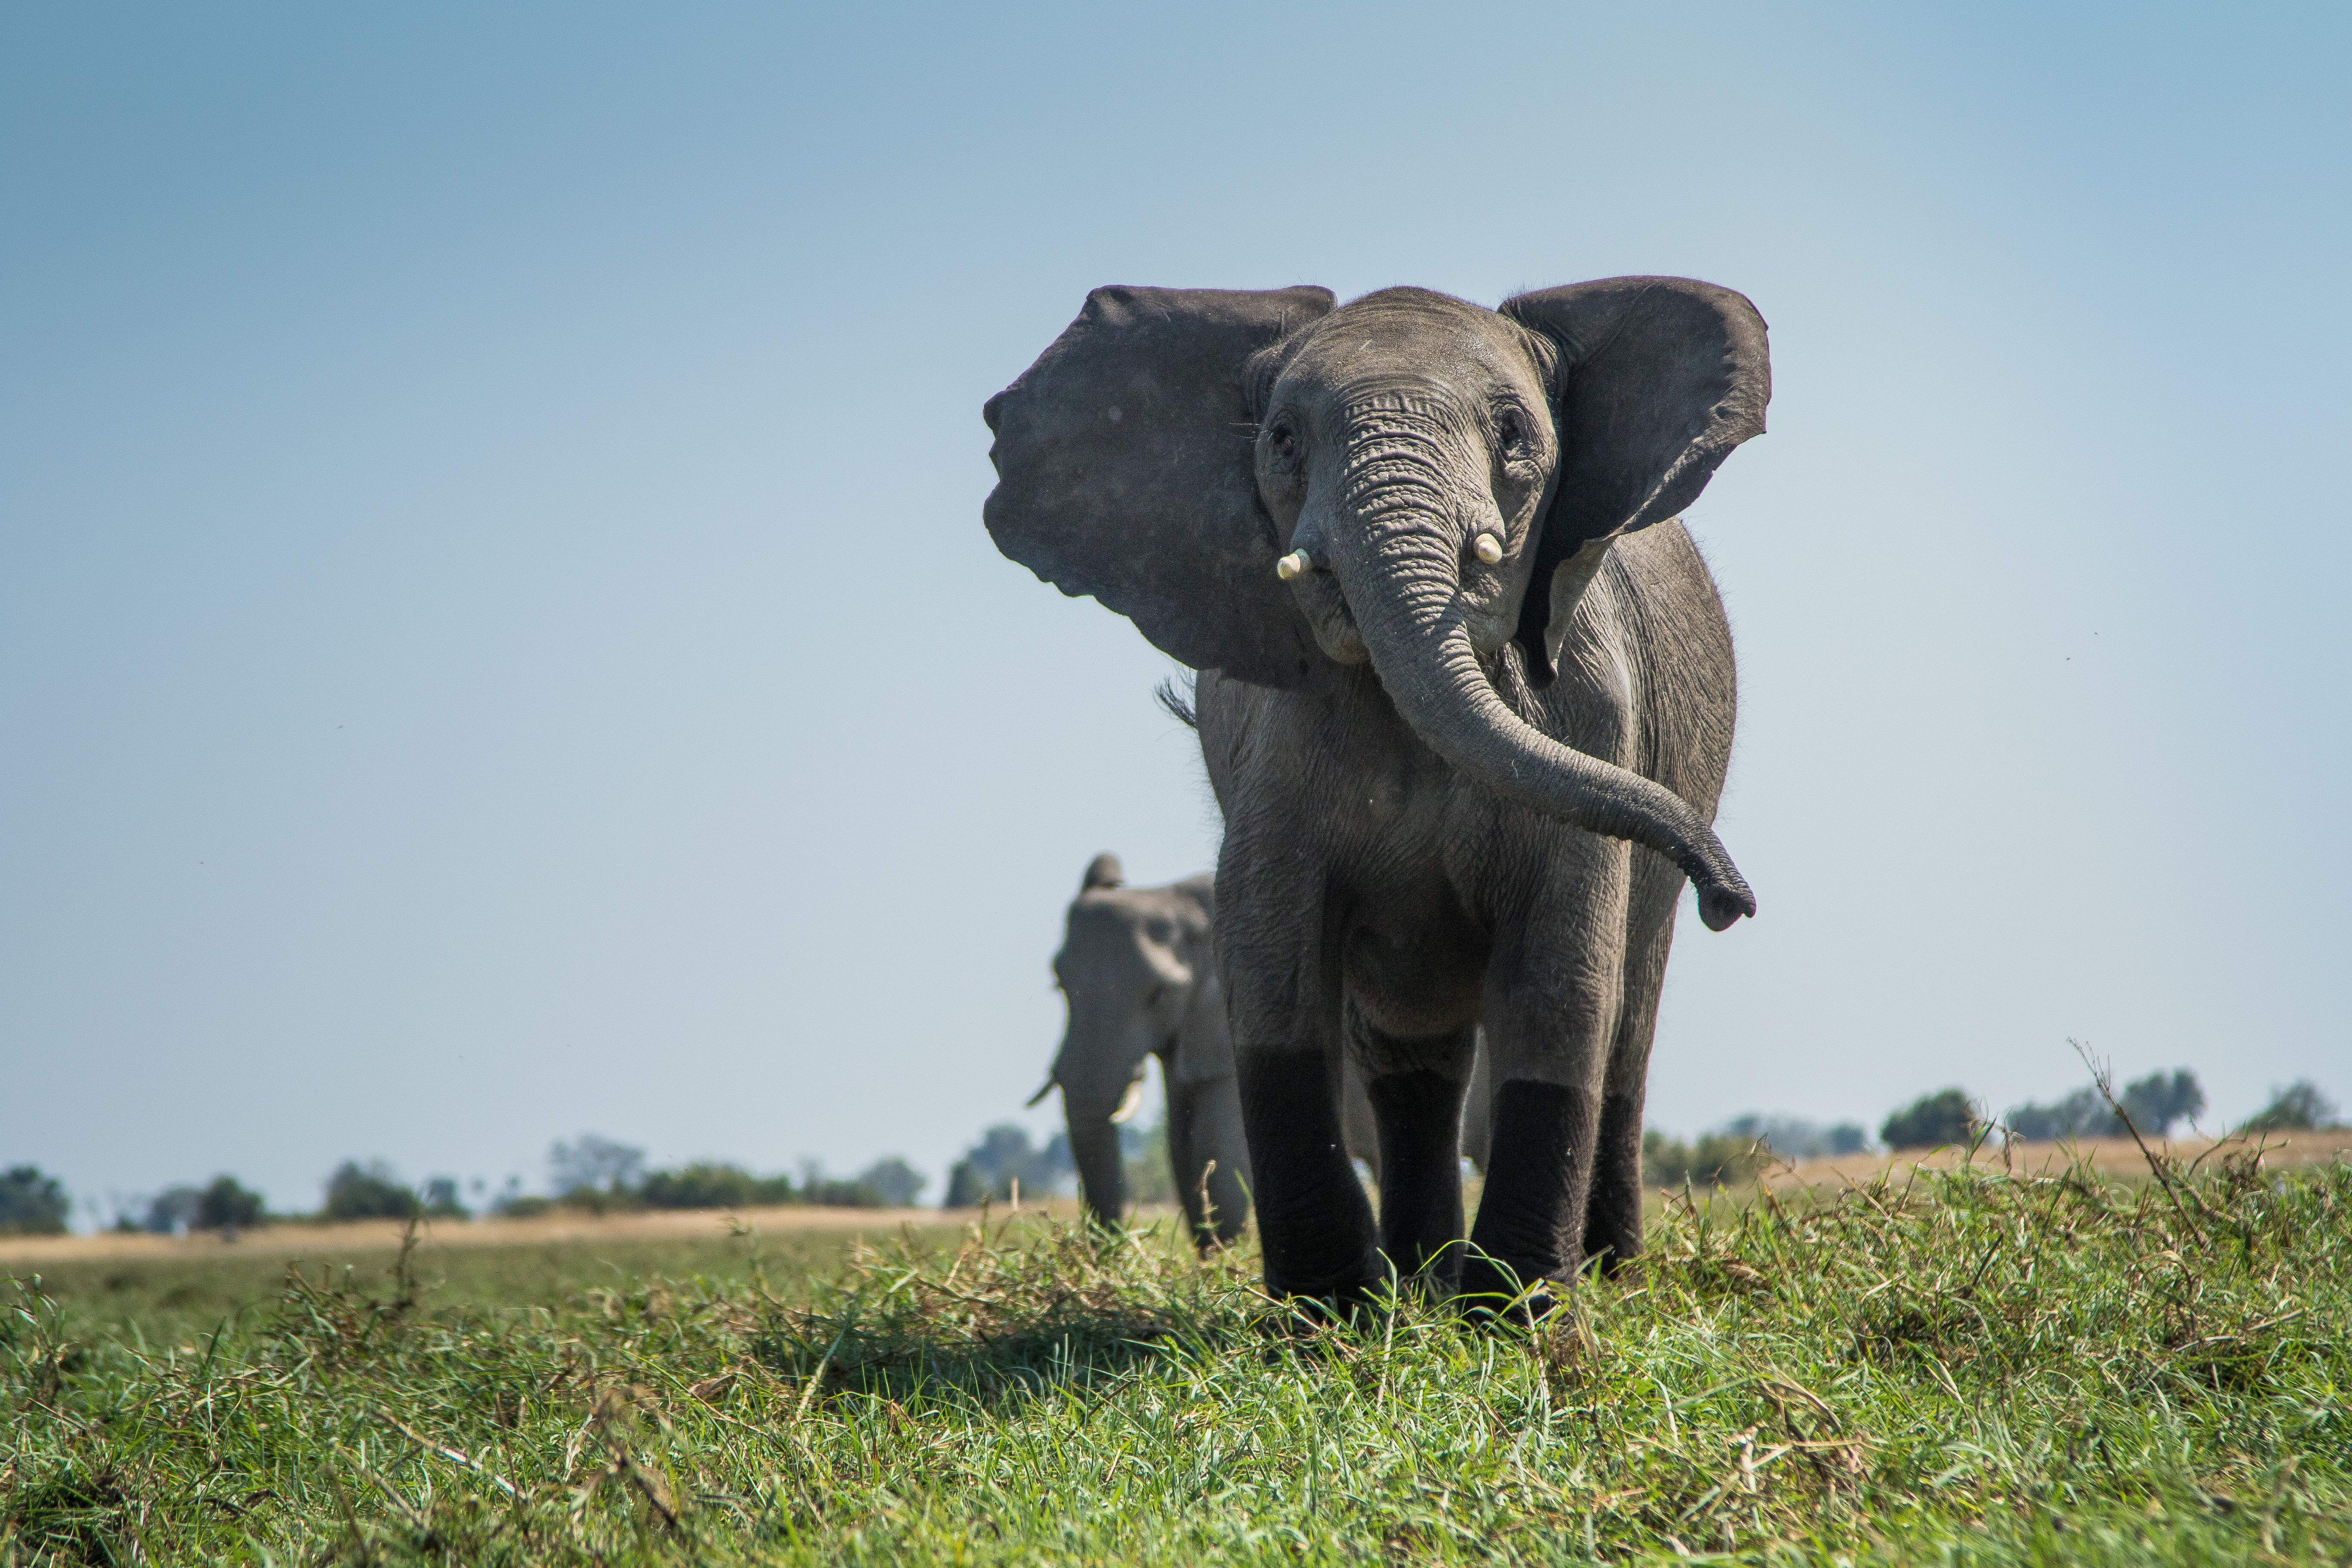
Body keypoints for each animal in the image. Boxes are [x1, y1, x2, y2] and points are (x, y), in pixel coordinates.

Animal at [984, 277, 1768, 1312]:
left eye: (1513, 431)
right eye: (1281, 439)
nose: (1735, 900)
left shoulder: (1595, 712)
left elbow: (1560, 974)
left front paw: (1516, 1316)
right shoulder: (1274, 756)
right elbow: (1274, 978)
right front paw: (1324, 1317)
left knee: (1623, 1027)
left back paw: (1597, 1277)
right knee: (1407, 1058)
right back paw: (1417, 1285)